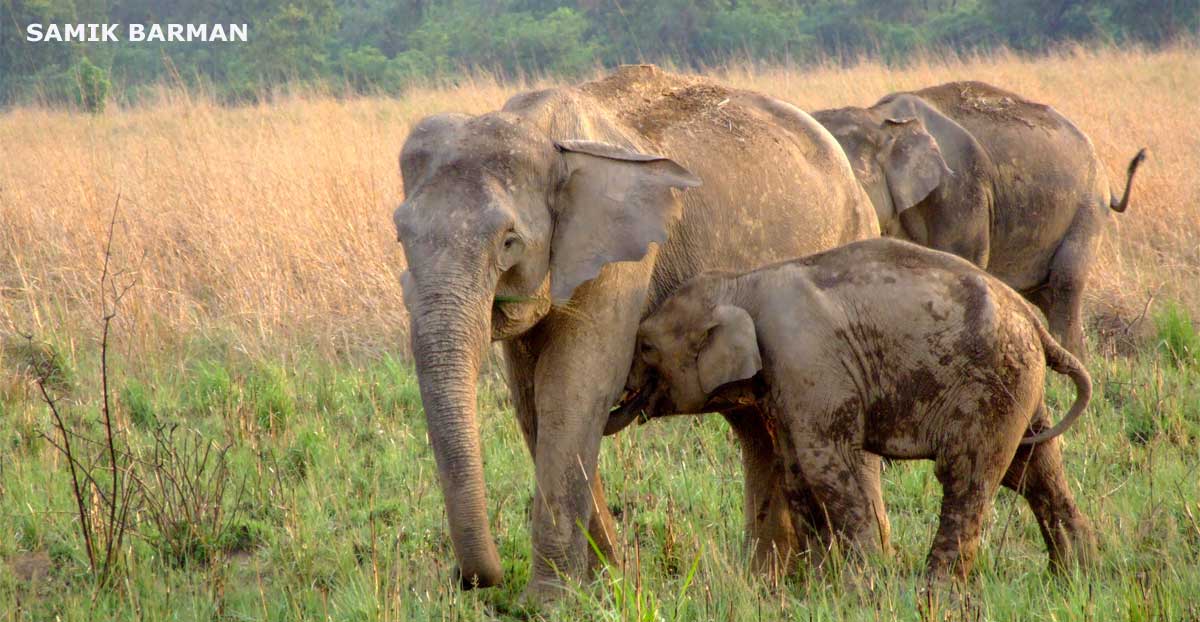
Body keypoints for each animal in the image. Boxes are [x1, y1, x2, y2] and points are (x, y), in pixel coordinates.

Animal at [398, 64, 878, 605]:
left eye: (509, 242)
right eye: (400, 236)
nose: (472, 581)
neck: (543, 132)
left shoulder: (621, 259)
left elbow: (572, 390)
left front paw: (550, 602)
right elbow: (531, 402)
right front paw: (603, 587)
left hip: (852, 239)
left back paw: (857, 575)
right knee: (756, 423)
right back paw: (769, 582)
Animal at [614, 240, 1094, 585]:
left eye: (646, 346)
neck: (742, 282)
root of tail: (1035, 324)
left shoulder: (807, 362)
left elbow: (826, 463)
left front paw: (860, 586)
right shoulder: (787, 385)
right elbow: (794, 469)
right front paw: (817, 585)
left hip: (989, 385)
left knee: (967, 474)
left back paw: (934, 592)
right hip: (1019, 387)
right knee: (1033, 467)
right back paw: (1076, 576)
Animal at [806, 81, 1142, 360]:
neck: (881, 118)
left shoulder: (962, 189)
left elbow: (961, 264)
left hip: (1087, 212)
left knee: (1065, 284)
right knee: (1045, 295)